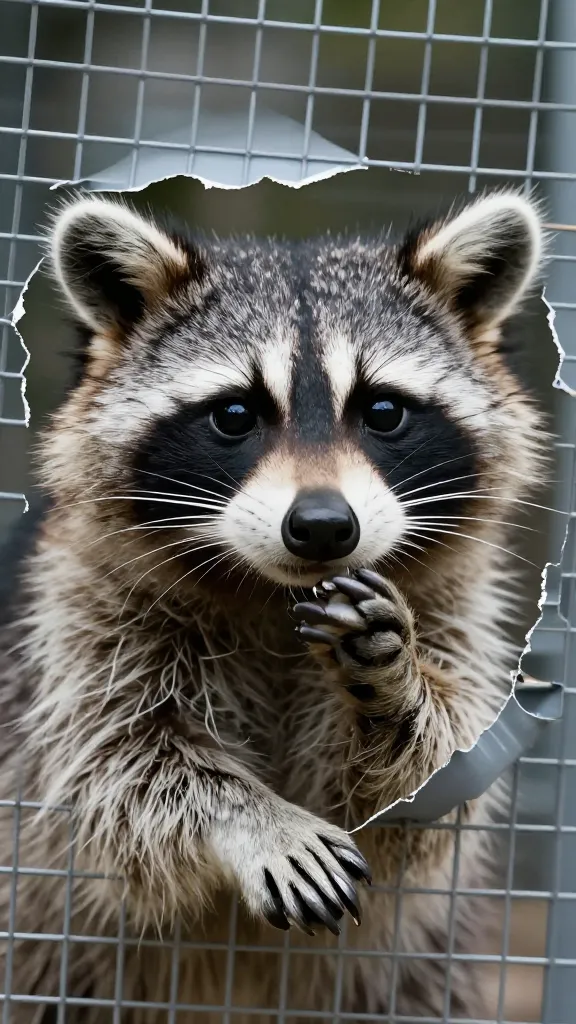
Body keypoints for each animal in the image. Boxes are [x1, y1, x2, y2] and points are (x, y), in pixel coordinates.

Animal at [0, 189, 545, 1023]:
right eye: (234, 415)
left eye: (383, 411)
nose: (322, 526)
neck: (276, 592)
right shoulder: (76, 614)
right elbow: (113, 770)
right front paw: (253, 819)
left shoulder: (458, 608)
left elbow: (432, 801)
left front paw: (401, 688)